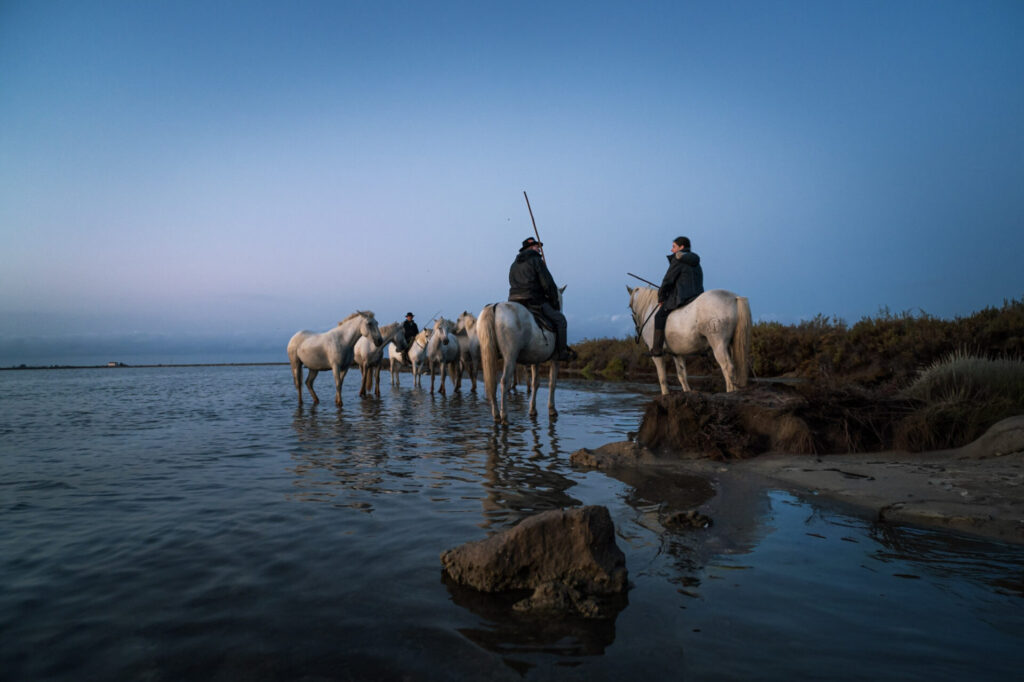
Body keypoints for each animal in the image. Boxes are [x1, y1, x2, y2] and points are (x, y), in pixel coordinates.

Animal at [477, 286, 566, 425]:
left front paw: (533, 410)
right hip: (510, 357)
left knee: (493, 383)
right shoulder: (555, 359)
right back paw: (504, 417)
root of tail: (495, 306)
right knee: (504, 382)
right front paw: (552, 409)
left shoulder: (536, 360)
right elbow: (552, 383)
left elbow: (536, 383)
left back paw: (496, 415)